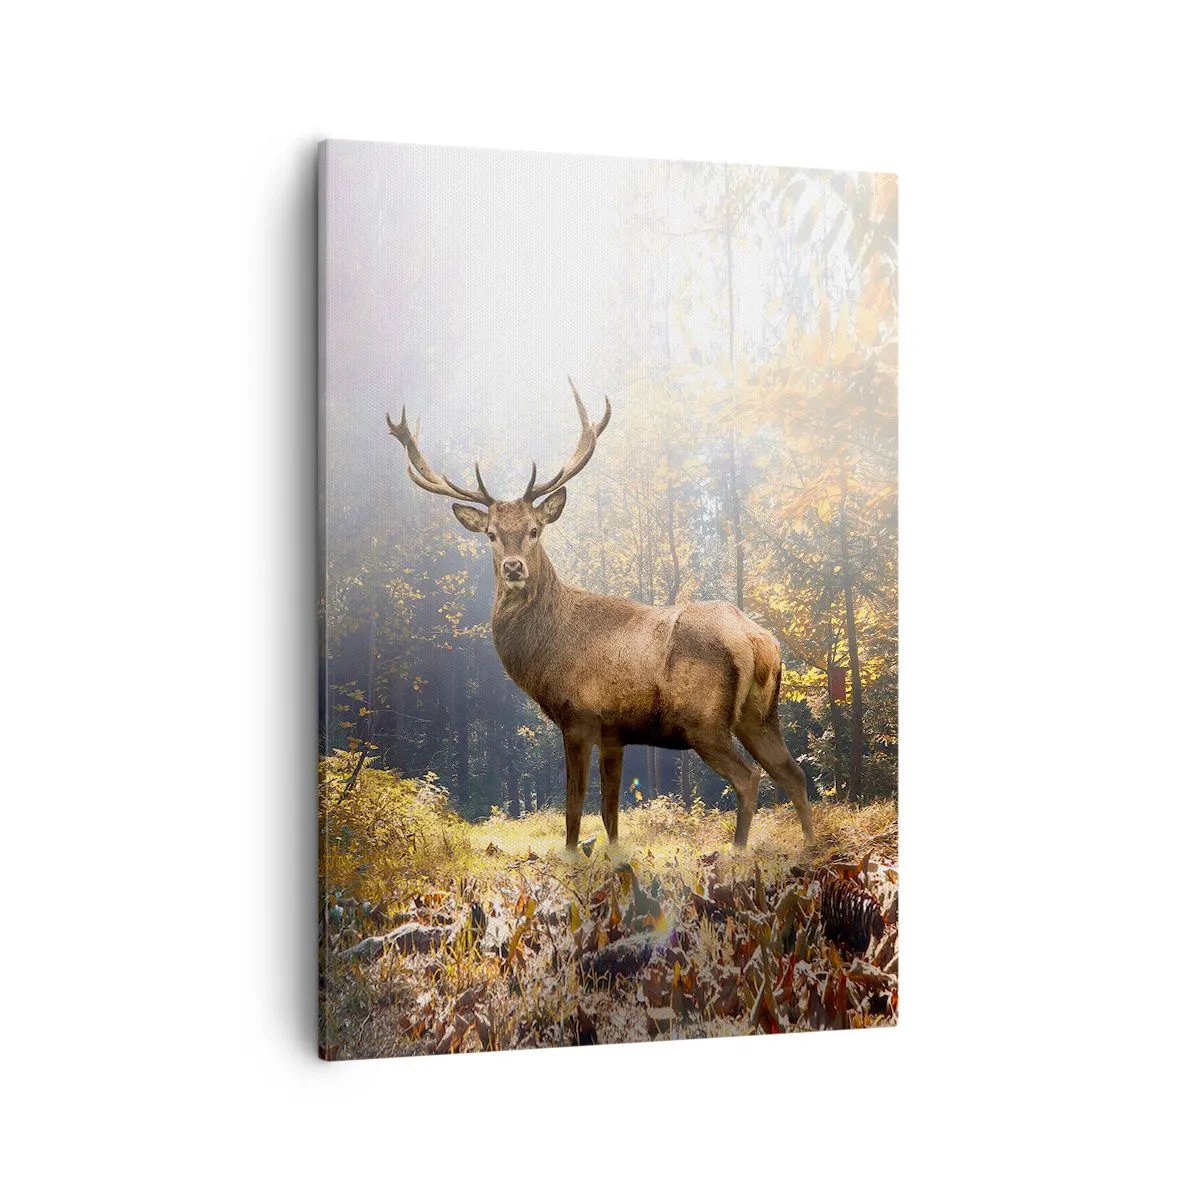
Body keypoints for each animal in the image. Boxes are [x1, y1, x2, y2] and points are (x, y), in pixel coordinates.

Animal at [386, 382, 815, 852]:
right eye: (491, 534)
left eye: (535, 529)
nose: (514, 567)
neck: (546, 652)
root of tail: (757, 639)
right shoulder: (615, 733)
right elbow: (610, 811)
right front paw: (613, 857)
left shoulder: (579, 717)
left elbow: (574, 808)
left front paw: (572, 856)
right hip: (760, 714)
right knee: (793, 772)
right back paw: (811, 845)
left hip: (704, 719)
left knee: (749, 777)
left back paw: (737, 853)